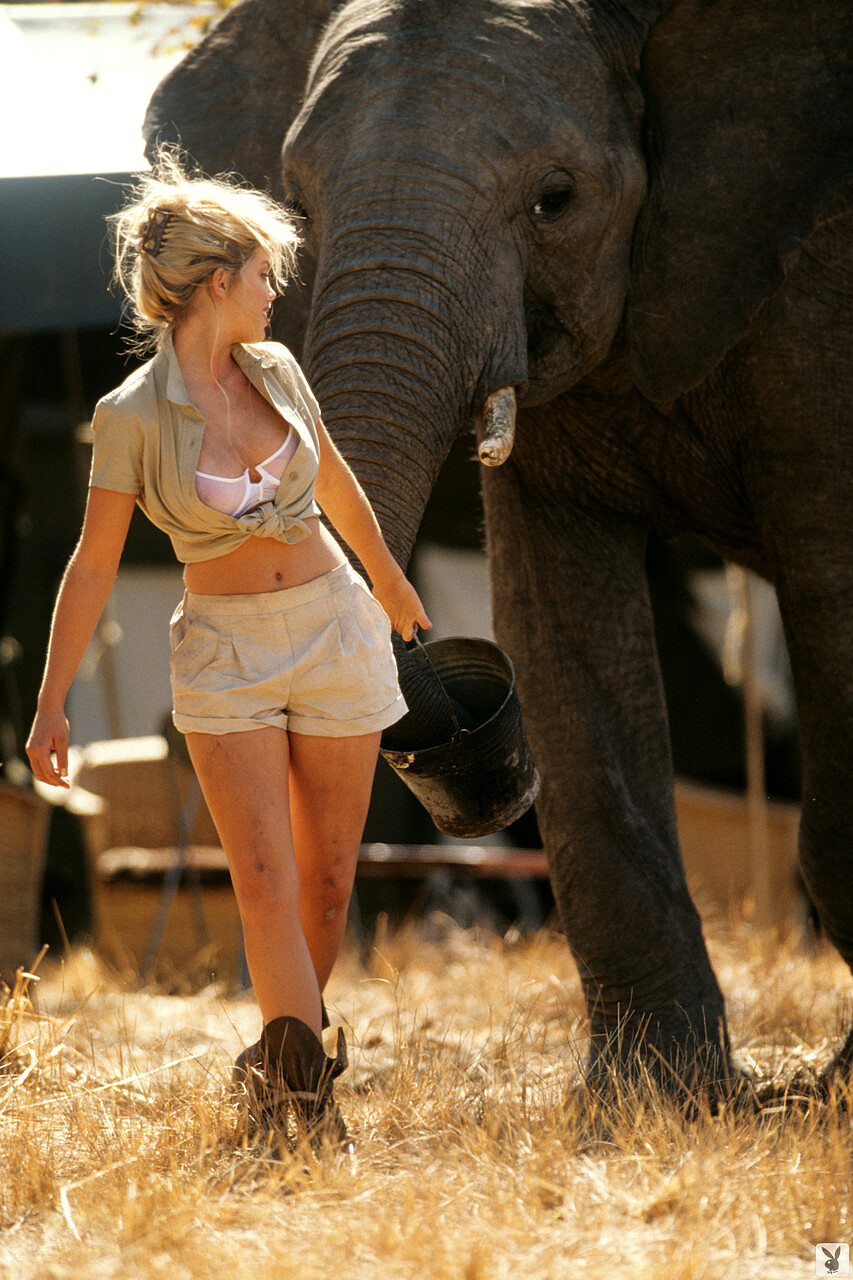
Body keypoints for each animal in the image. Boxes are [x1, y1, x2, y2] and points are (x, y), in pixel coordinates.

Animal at [144, 0, 853, 1101]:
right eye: (294, 199)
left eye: (555, 200)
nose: (469, 717)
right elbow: (556, 619)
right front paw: (651, 1096)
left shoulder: (819, 297)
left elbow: (829, 584)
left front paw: (820, 1092)